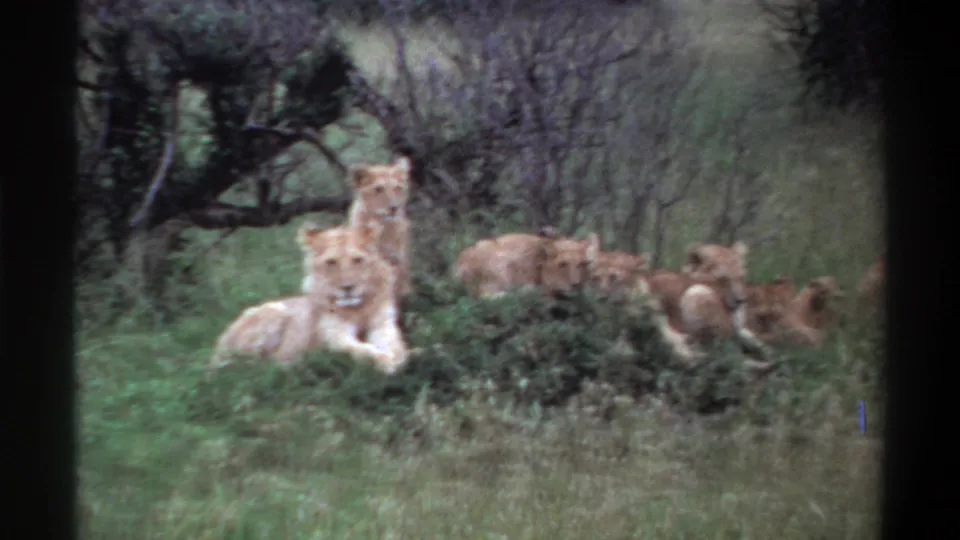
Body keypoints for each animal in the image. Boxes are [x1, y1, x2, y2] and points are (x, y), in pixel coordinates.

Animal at [210, 221, 408, 375]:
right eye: (331, 262)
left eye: (358, 260)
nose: (348, 288)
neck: (357, 309)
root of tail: (218, 347)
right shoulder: (334, 336)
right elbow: (360, 350)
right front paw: (385, 362)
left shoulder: (383, 324)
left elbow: (396, 345)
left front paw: (400, 358)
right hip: (274, 312)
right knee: (247, 367)